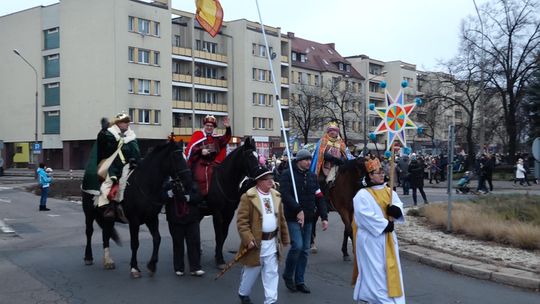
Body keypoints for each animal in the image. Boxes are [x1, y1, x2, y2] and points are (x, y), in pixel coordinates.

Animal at [122, 140, 192, 278]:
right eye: (176, 157)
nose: (189, 180)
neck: (144, 185)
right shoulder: (134, 220)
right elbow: (135, 243)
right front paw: (134, 268)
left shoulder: (152, 218)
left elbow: (157, 239)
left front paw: (152, 265)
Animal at [202, 138, 262, 268]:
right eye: (249, 156)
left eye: (258, 156)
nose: (259, 175)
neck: (225, 180)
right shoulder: (217, 213)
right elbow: (219, 235)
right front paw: (219, 259)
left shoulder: (229, 213)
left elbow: (224, 234)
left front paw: (218, 256)